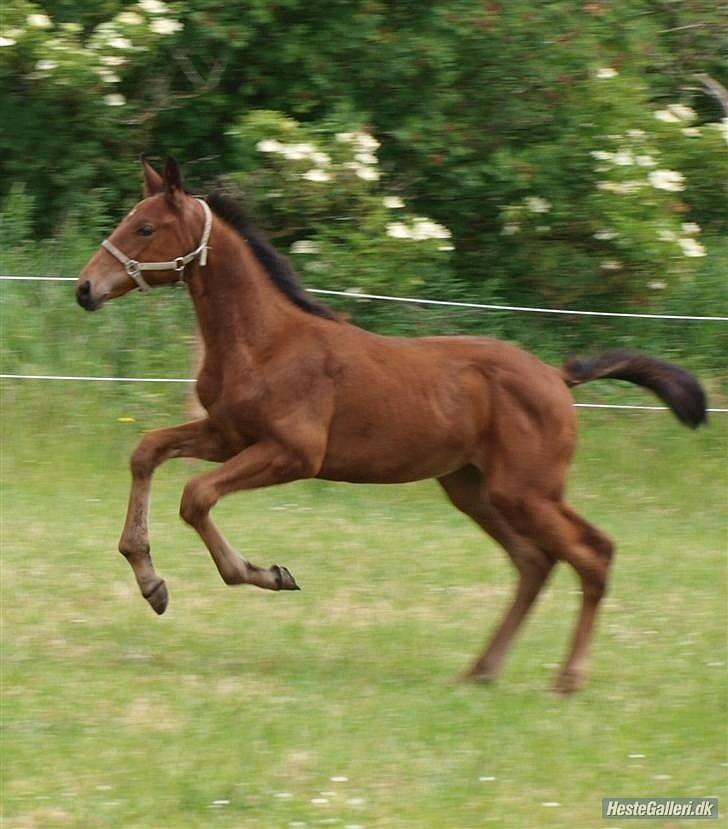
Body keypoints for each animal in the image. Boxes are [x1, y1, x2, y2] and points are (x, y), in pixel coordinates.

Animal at [75, 158, 704, 688]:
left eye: (146, 228)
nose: (85, 289)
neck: (265, 342)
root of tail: (556, 376)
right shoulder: (229, 435)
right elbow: (147, 451)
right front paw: (151, 583)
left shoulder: (293, 454)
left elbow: (196, 495)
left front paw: (266, 574)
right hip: (476, 489)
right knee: (535, 561)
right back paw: (481, 671)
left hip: (526, 490)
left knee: (593, 553)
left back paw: (567, 680)